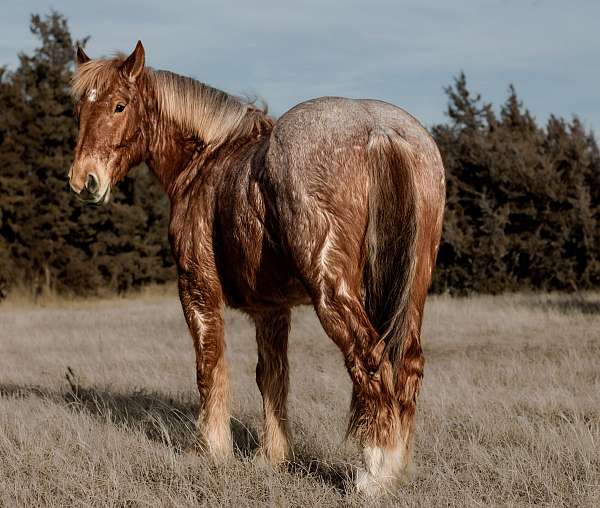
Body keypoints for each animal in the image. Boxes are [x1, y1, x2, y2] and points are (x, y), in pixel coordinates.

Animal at [69, 41, 446, 494]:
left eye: (119, 105)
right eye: (79, 108)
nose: (84, 180)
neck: (205, 161)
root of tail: (379, 130)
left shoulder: (197, 290)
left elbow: (210, 365)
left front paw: (210, 449)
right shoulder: (272, 310)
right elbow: (272, 377)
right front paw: (272, 457)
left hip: (333, 292)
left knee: (370, 361)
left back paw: (374, 474)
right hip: (413, 291)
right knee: (407, 364)